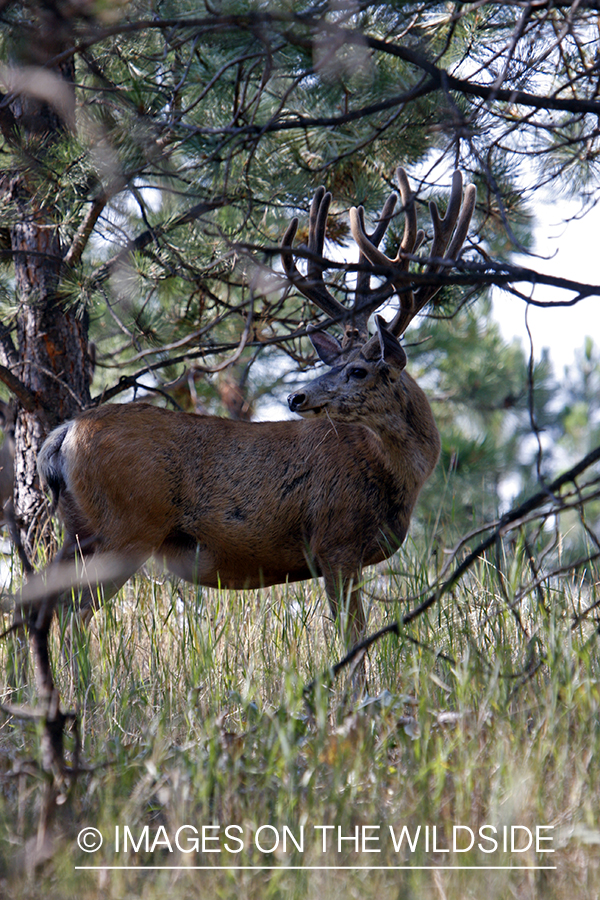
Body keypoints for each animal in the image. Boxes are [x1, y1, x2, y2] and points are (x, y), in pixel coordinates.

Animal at [24, 168, 475, 766]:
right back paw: (88, 707)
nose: (298, 397)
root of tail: (65, 433)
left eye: (356, 369)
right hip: (126, 528)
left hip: (78, 527)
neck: (392, 473)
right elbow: (353, 644)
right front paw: (355, 718)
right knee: (74, 613)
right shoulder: (334, 543)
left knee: (40, 603)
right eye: (335, 364)